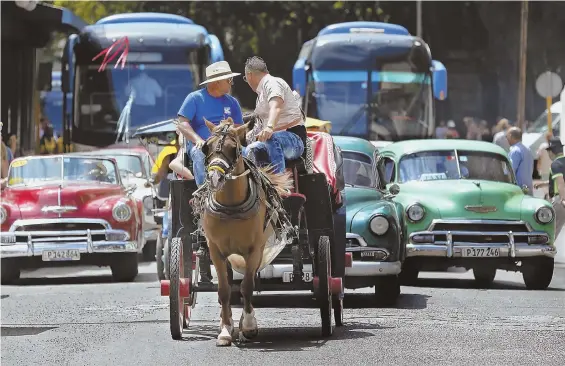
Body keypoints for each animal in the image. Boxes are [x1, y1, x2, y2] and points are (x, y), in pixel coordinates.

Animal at [194, 116, 294, 346]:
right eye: (206, 147)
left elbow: (247, 286)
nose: (215, 178)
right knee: (230, 285)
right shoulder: (216, 251)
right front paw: (225, 330)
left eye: (234, 149)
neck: (231, 207)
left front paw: (248, 326)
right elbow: (224, 290)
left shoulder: (254, 250)